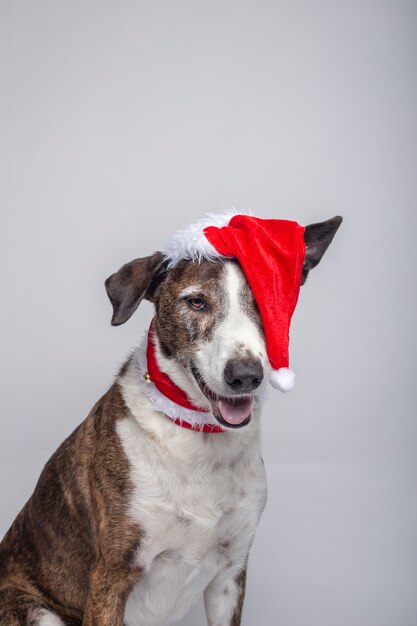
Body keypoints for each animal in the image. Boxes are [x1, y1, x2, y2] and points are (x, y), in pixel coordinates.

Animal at [0, 212, 342, 620]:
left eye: (264, 303)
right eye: (196, 302)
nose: (245, 375)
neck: (198, 437)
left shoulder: (230, 573)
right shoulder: (111, 576)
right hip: (37, 610)